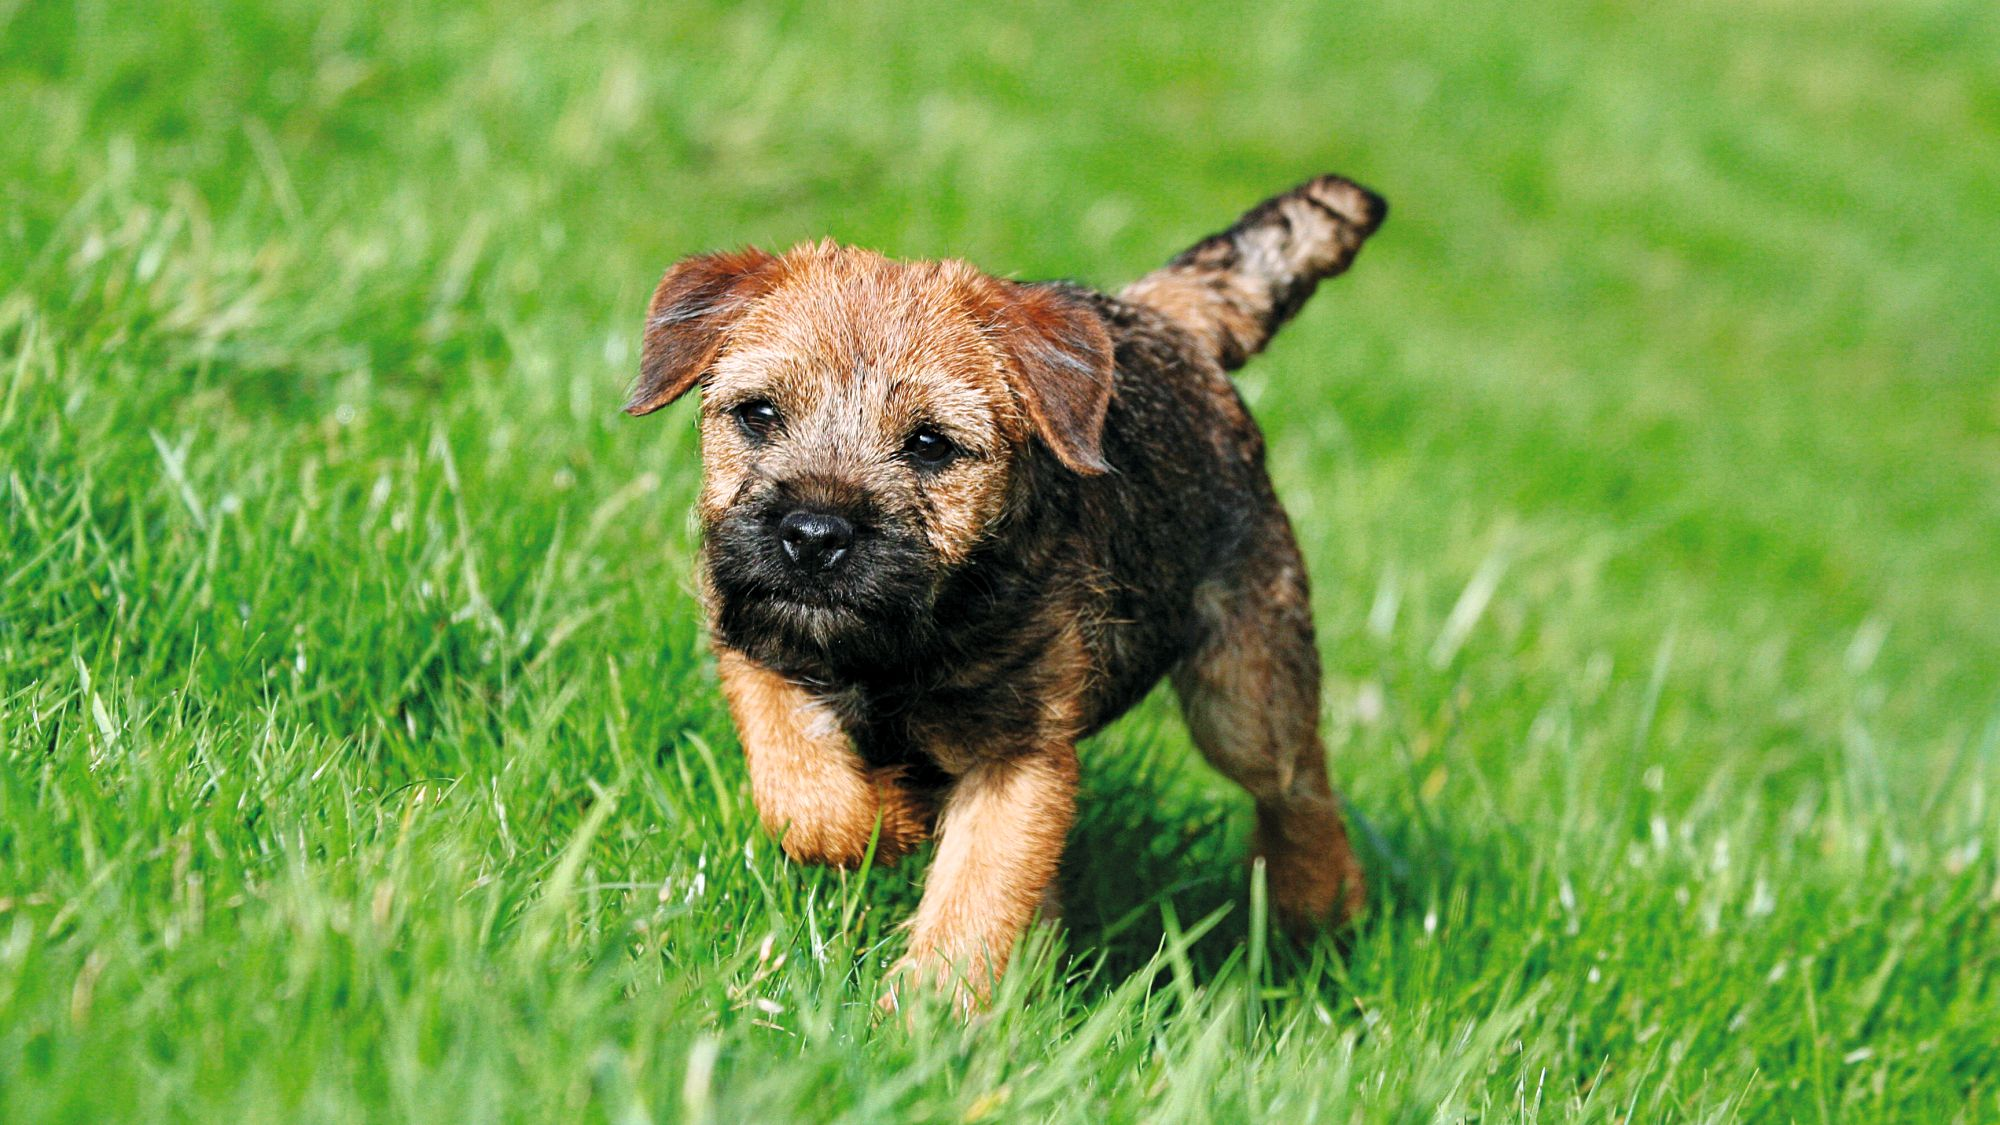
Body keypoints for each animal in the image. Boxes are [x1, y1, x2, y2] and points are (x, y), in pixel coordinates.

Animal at [624, 173, 1392, 996]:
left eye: (931, 444)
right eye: (759, 413)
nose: (814, 535)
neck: (901, 646)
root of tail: (1162, 319)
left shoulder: (1020, 758)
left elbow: (977, 895)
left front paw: (926, 1011)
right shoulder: (752, 632)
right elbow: (804, 793)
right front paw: (889, 815)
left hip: (1243, 693)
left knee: (1298, 779)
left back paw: (1320, 908)